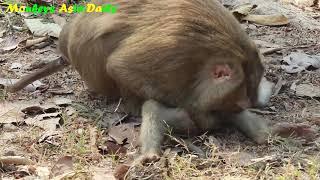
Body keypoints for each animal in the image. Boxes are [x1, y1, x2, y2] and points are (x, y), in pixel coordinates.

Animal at [5, 0, 288, 163]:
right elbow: (120, 66)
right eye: (229, 104)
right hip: (94, 68)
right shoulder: (173, 51)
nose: (219, 120)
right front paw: (196, 115)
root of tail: (64, 46)